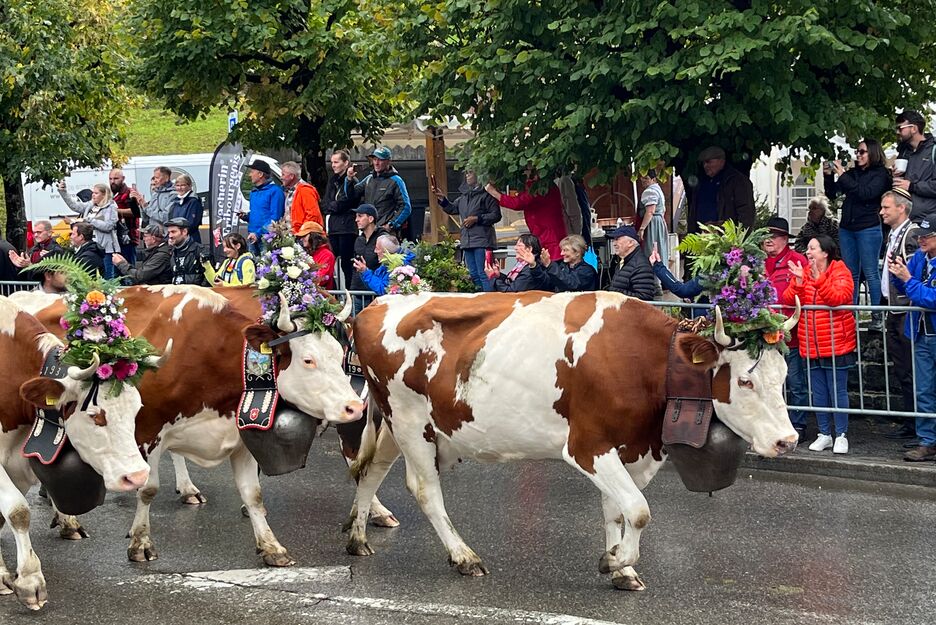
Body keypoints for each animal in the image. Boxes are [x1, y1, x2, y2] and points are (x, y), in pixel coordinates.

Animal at [0, 298, 154, 608]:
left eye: (137, 409)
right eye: (96, 416)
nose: (138, 475)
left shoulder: (16, 457)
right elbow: (18, 511)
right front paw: (28, 580)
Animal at [344, 292, 796, 588]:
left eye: (785, 376)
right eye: (745, 381)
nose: (788, 441)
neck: (639, 360)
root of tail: (376, 305)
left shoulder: (632, 449)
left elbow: (618, 510)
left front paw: (621, 568)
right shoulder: (587, 446)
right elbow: (639, 510)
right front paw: (615, 561)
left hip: (398, 423)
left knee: (369, 470)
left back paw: (358, 538)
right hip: (410, 421)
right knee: (424, 489)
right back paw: (463, 557)